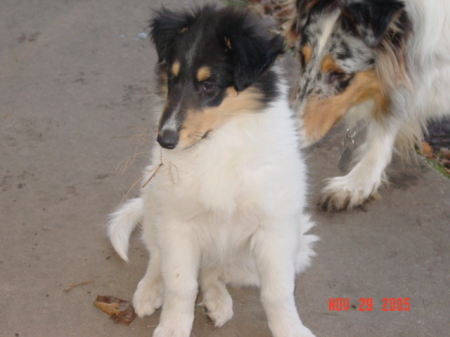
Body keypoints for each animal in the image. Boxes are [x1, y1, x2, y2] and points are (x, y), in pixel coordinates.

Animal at [107, 5, 318, 336]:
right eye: (171, 80)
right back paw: (150, 290)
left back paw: (217, 301)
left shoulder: (275, 228)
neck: (219, 142)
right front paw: (173, 327)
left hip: (276, 251)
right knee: (158, 256)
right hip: (154, 199)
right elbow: (180, 284)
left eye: (209, 86)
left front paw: (290, 329)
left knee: (212, 271)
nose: (165, 140)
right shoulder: (177, 223)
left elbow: (278, 291)